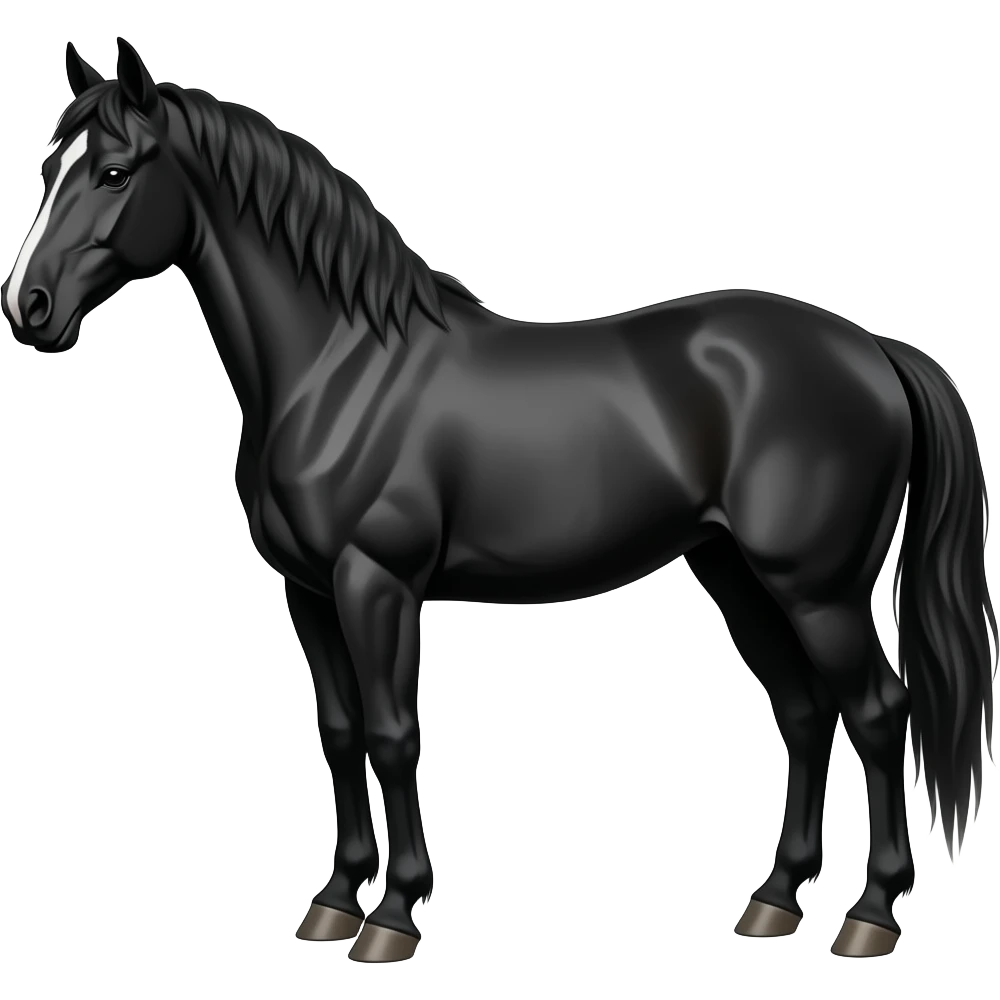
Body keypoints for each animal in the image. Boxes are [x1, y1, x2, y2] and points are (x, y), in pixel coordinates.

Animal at [3, 38, 996, 963]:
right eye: (48, 168)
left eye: (116, 171)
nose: (30, 308)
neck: (340, 366)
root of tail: (874, 351)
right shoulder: (309, 590)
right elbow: (340, 732)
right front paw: (333, 902)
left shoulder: (377, 583)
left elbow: (394, 734)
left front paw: (393, 917)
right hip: (737, 574)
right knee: (804, 712)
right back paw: (774, 902)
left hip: (818, 589)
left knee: (879, 713)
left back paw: (869, 915)